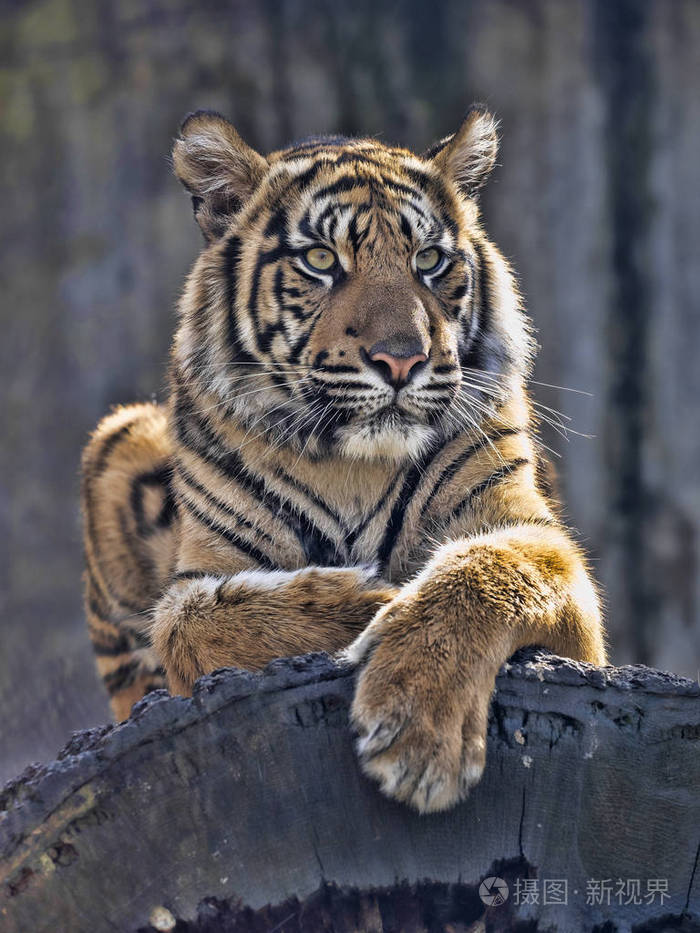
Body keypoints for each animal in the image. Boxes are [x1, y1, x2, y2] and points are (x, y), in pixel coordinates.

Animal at [81, 104, 605, 813]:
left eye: (429, 260)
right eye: (322, 259)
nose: (402, 360)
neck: (352, 464)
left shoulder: (537, 540)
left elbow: (483, 572)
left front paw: (416, 737)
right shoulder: (203, 571)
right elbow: (187, 622)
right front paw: (373, 599)